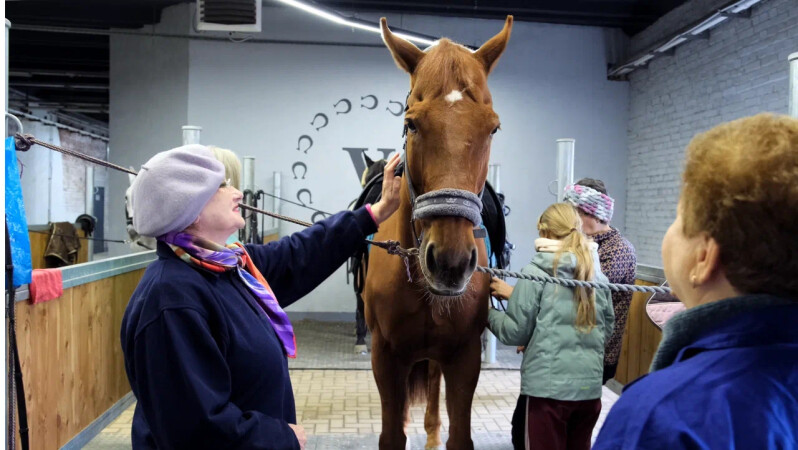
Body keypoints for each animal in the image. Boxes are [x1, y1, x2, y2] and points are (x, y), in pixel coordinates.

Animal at [366, 16, 516, 450]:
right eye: (411, 122)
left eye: (493, 128)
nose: (450, 261)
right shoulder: (385, 357)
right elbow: (392, 433)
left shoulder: (464, 357)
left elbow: (458, 434)